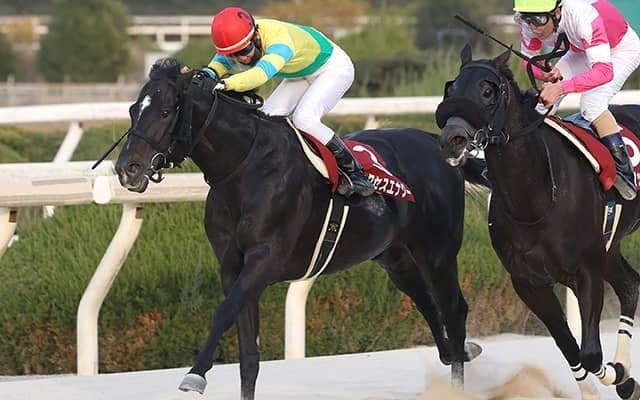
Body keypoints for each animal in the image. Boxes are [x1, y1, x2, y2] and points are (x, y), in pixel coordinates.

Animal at [113, 57, 486, 399]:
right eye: (132, 110)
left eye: (165, 112)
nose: (128, 168)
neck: (245, 169)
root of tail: (439, 145)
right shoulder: (232, 266)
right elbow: (248, 356)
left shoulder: (263, 260)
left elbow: (222, 313)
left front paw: (195, 374)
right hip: (395, 256)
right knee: (428, 304)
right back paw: (457, 352)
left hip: (437, 251)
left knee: (454, 311)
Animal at [437, 44, 640, 400]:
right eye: (451, 89)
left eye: (488, 91)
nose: (453, 139)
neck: (535, 201)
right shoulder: (529, 283)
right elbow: (573, 351)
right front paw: (623, 379)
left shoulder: (587, 271)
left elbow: (590, 354)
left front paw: (619, 376)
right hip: (610, 246)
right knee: (630, 285)